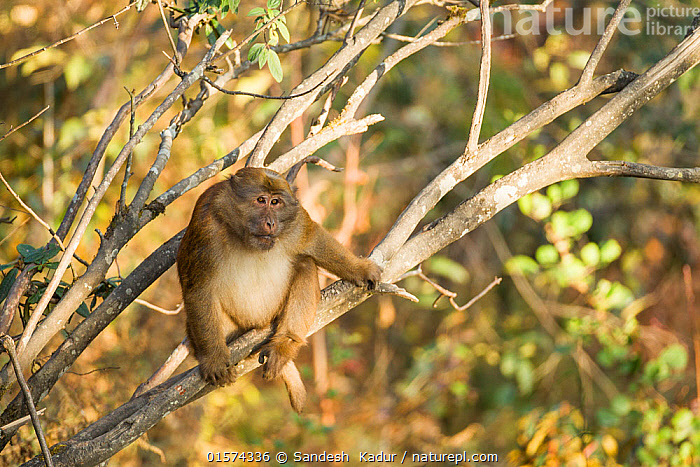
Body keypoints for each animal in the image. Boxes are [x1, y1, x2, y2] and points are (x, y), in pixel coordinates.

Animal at [175, 167, 382, 414]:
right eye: (261, 200)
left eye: (275, 202)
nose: (271, 223)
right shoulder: (206, 225)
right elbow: (199, 289)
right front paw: (214, 358)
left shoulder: (296, 220)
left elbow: (313, 239)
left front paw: (360, 269)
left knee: (305, 264)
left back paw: (284, 344)